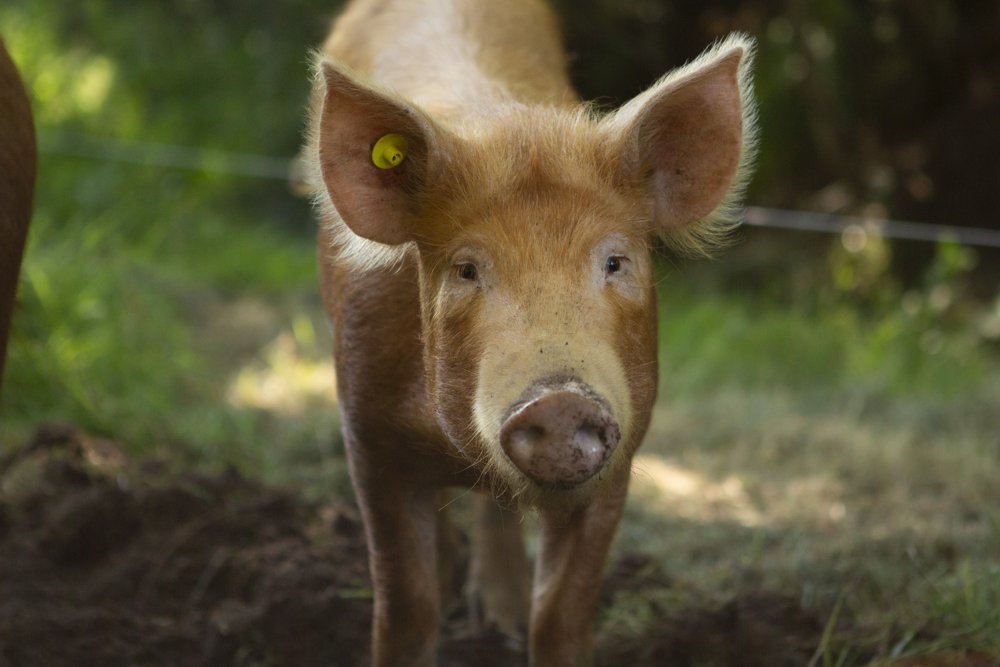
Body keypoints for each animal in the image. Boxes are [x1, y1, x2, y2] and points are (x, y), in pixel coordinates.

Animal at [304, 0, 757, 665]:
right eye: (466, 269)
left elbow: (561, 617)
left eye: (614, 261)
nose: (560, 400)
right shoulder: (365, 429)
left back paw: (503, 618)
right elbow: (406, 607)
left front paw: (526, 626)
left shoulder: (625, 444)